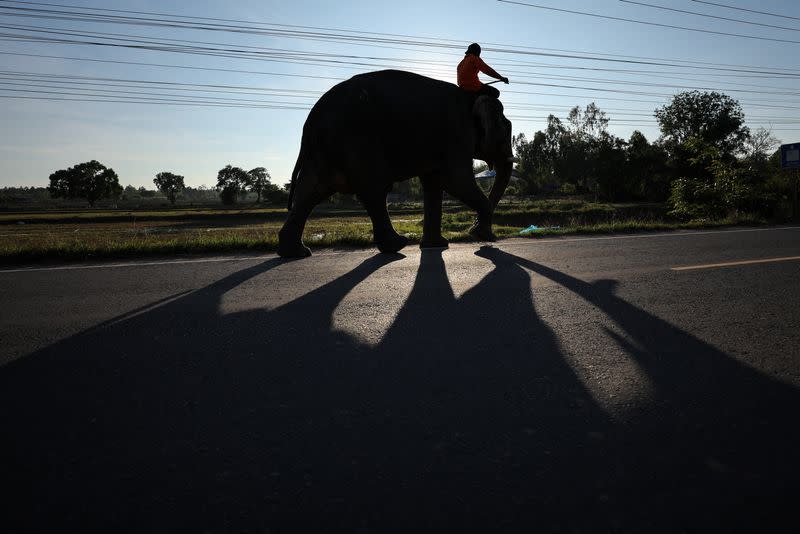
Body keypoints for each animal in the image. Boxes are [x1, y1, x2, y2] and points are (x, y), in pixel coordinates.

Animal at [278, 69, 516, 260]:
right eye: (506, 129)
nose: (477, 228)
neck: (471, 97)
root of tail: (310, 121)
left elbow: (434, 183)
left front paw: (439, 245)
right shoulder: (457, 132)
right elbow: (454, 180)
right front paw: (482, 235)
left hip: (324, 148)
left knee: (311, 191)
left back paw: (296, 253)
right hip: (357, 138)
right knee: (374, 189)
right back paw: (397, 245)